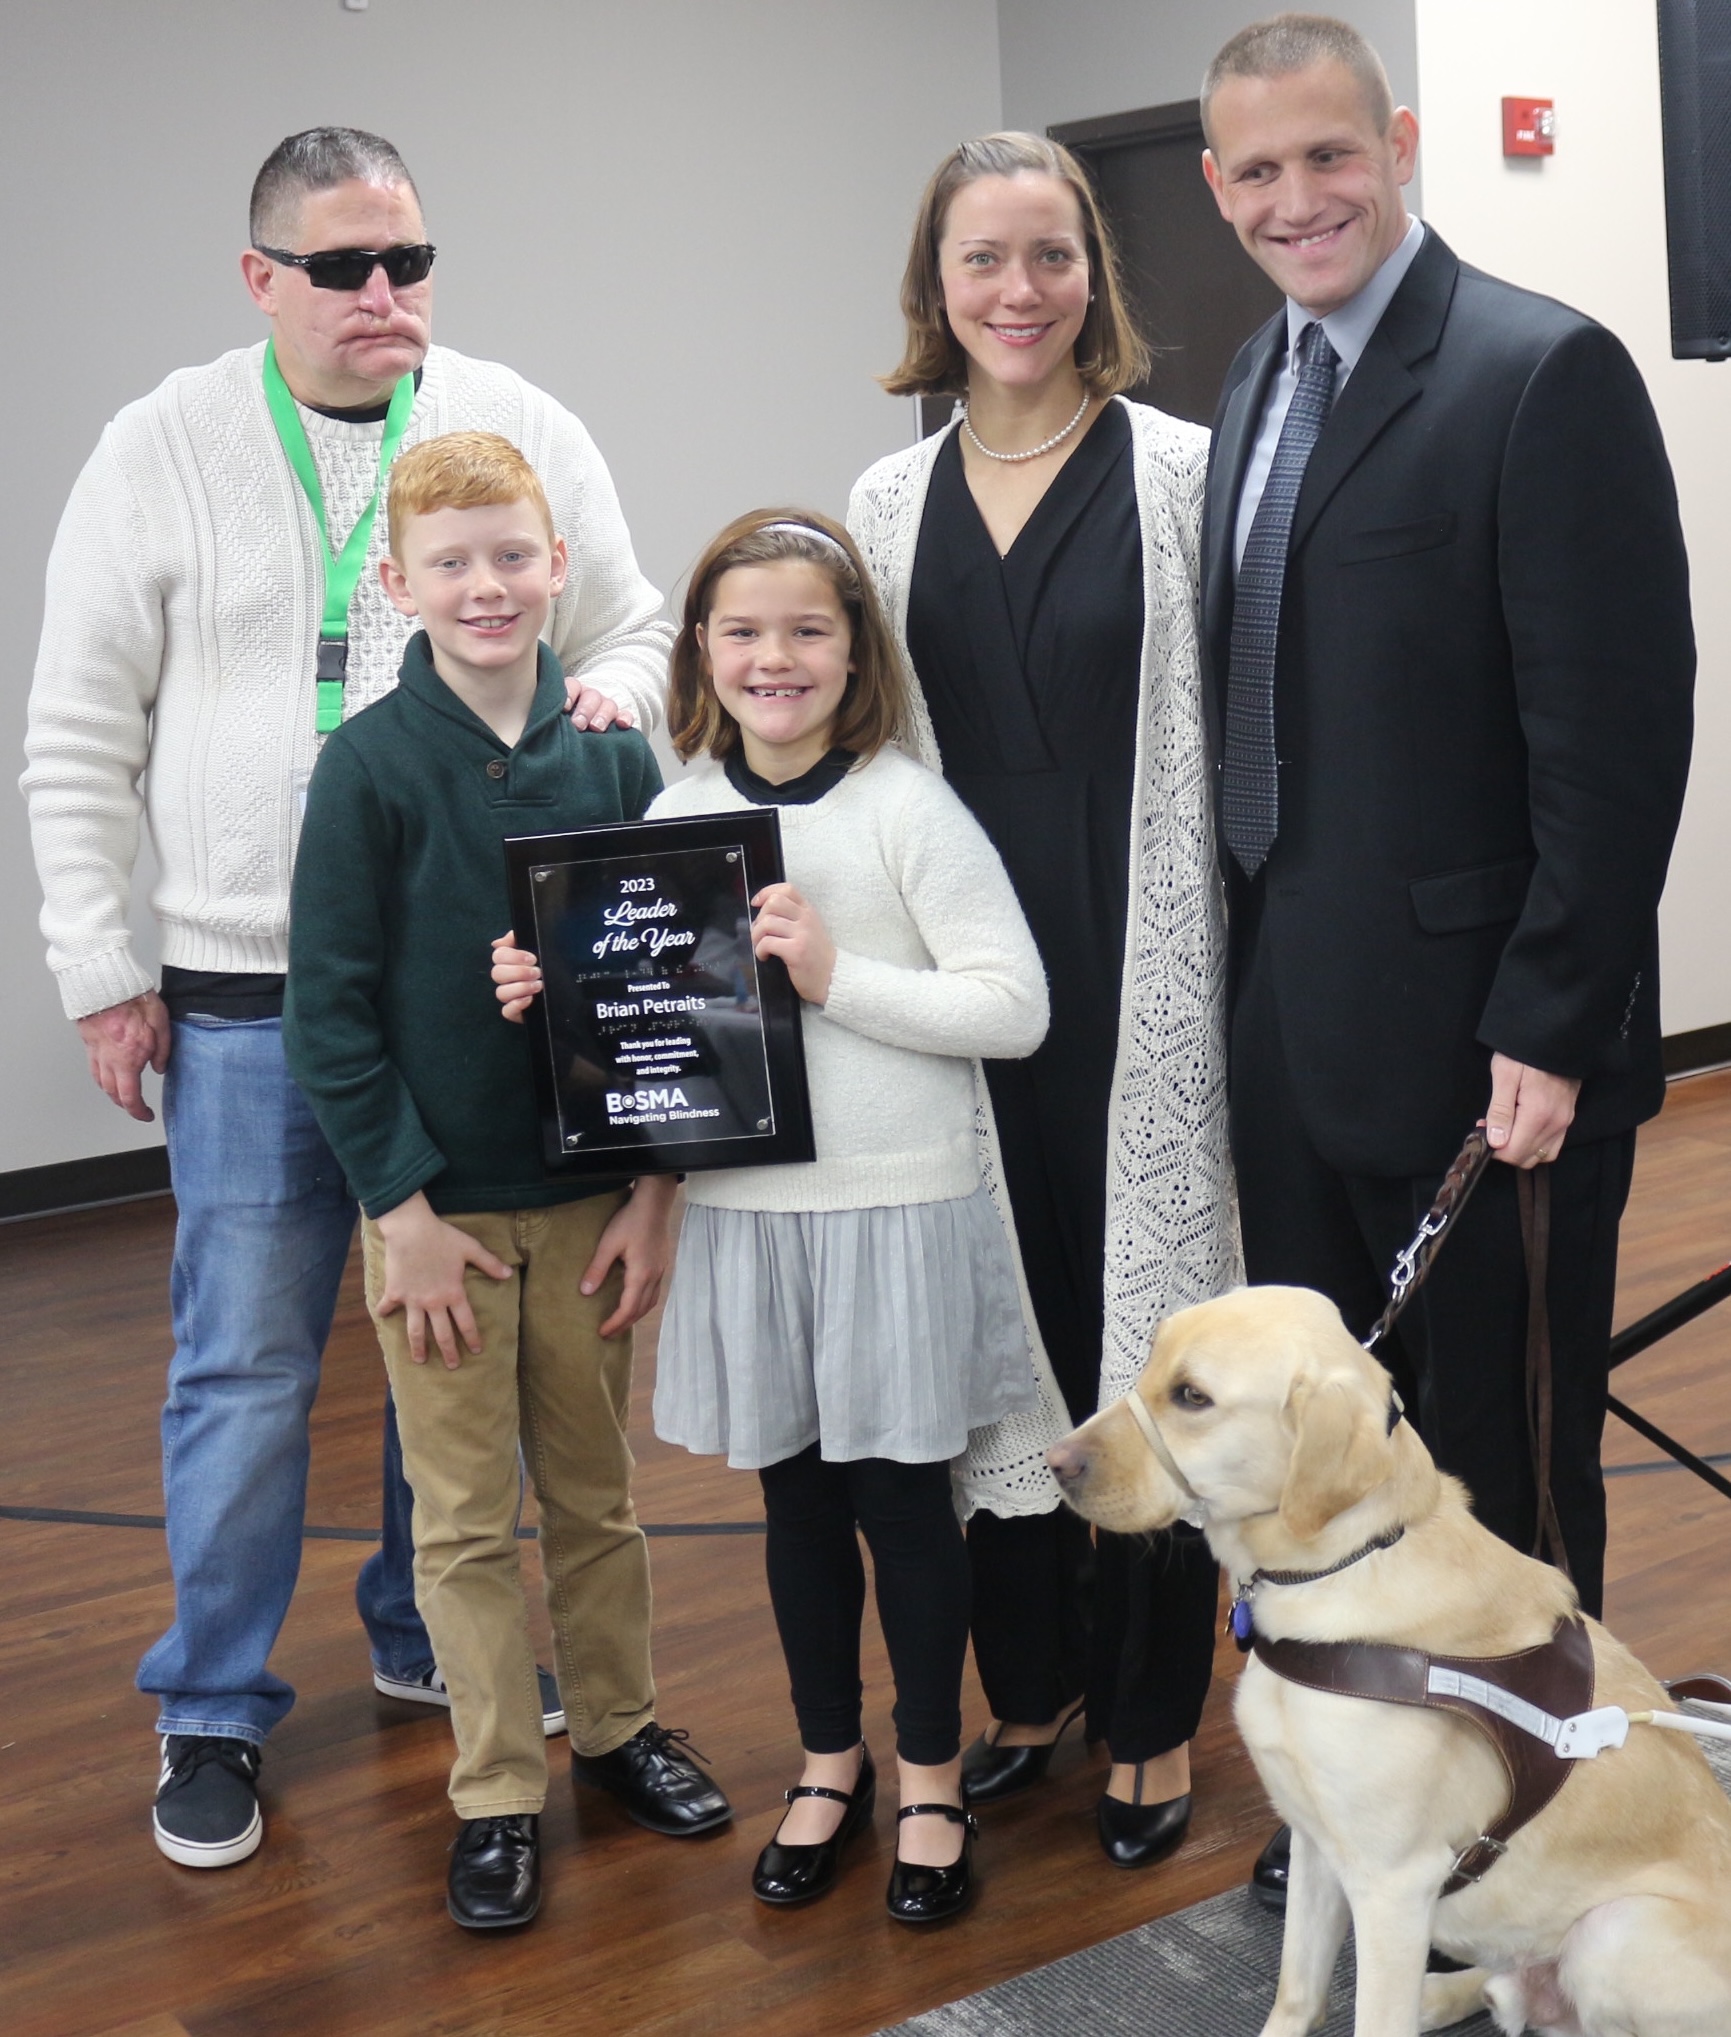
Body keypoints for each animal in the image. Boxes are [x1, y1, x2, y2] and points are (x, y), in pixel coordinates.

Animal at [1042, 1287, 1726, 2037]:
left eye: (1192, 1396)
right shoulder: (1313, 1841)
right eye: (1147, 1364)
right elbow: (1297, 1988)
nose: (1053, 1461)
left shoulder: (1393, 1882)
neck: (1340, 1565)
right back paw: (1453, 1991)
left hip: (1615, 1929)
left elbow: (1374, 2016)